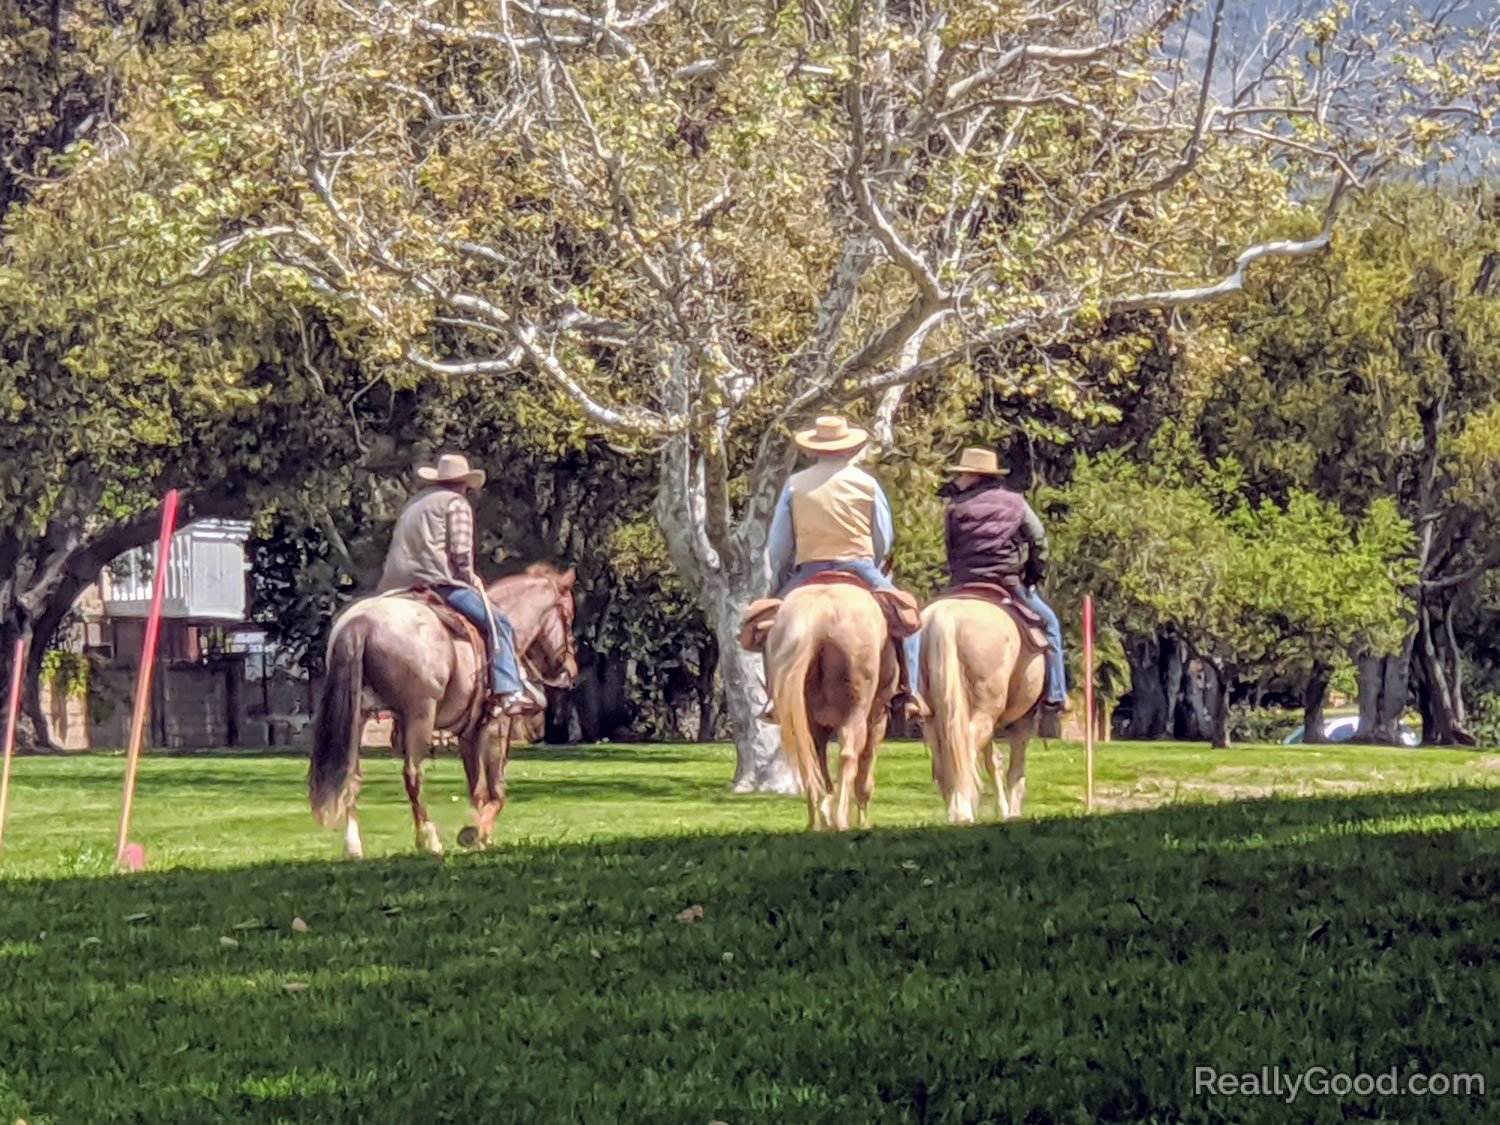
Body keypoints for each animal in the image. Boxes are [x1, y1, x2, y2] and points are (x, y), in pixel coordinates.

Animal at [307, 567, 576, 858]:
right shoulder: (496, 726)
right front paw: (474, 832)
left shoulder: (469, 732)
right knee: (412, 775)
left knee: (352, 776)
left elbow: (478, 788)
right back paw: (429, 838)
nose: (571, 669)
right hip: (420, 715)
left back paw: (353, 844)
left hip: (360, 716)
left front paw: (481, 835)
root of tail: (361, 623)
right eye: (568, 616)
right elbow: (497, 790)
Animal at [768, 585, 894, 834]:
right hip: (855, 712)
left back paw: (816, 821)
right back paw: (840, 820)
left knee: (809, 757)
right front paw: (862, 817)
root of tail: (819, 615)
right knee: (848, 756)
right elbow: (865, 765)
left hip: (804, 716)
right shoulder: (877, 719)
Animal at [912, 600, 1044, 828]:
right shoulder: (1024, 721)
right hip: (985, 711)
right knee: (967, 753)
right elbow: (1015, 768)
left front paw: (1004, 810)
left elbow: (993, 762)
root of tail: (945, 617)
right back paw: (963, 810)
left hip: (933, 718)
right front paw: (1013, 813)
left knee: (943, 756)